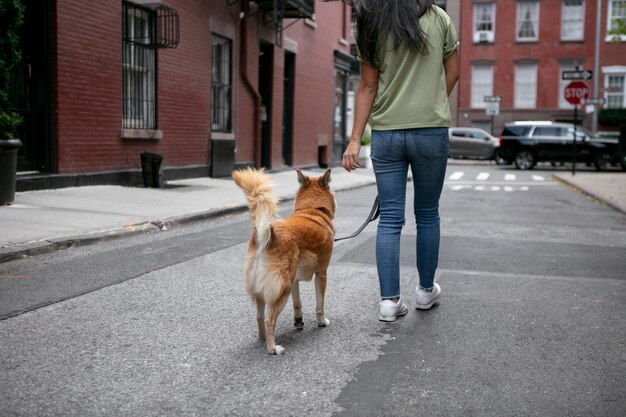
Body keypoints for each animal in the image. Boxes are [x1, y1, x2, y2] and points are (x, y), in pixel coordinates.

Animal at [230, 167, 336, 352]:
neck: (312, 210)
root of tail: (267, 235)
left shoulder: (295, 280)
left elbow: (298, 304)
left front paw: (299, 322)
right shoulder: (321, 274)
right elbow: (320, 305)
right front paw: (322, 322)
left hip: (264, 290)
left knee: (259, 316)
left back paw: (263, 338)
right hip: (282, 288)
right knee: (269, 319)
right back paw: (273, 348)